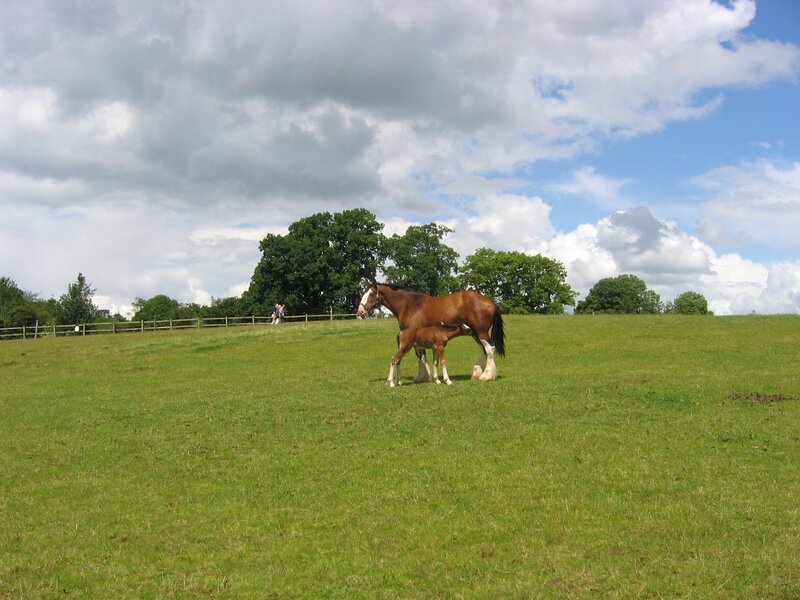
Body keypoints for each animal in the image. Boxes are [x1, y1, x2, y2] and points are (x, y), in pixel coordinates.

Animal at [357, 282, 505, 383]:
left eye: (371, 294)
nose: (360, 312)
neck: (409, 304)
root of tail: (490, 301)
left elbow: (420, 355)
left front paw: (422, 377)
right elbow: (422, 355)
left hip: (481, 332)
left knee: (490, 349)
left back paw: (486, 375)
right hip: (474, 333)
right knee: (484, 350)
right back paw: (477, 373)